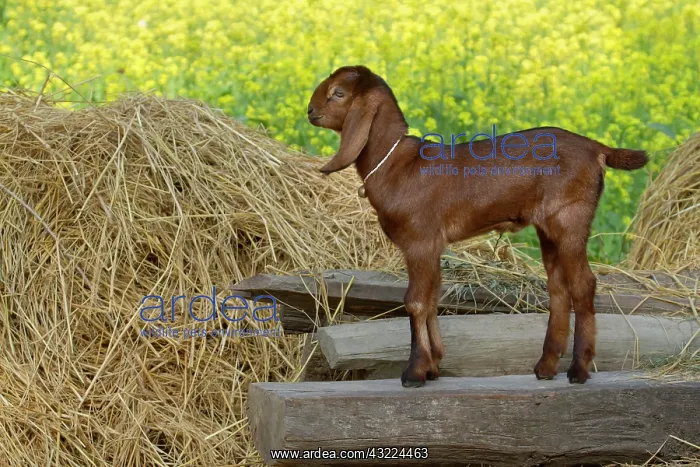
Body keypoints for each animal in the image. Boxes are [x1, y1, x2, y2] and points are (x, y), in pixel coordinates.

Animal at [307, 65, 648, 388]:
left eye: (338, 93)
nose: (310, 111)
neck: (399, 166)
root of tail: (597, 149)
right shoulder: (432, 246)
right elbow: (432, 299)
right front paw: (433, 366)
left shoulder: (420, 240)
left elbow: (415, 302)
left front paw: (414, 372)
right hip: (548, 228)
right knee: (559, 288)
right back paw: (546, 367)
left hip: (570, 219)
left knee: (583, 285)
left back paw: (578, 369)